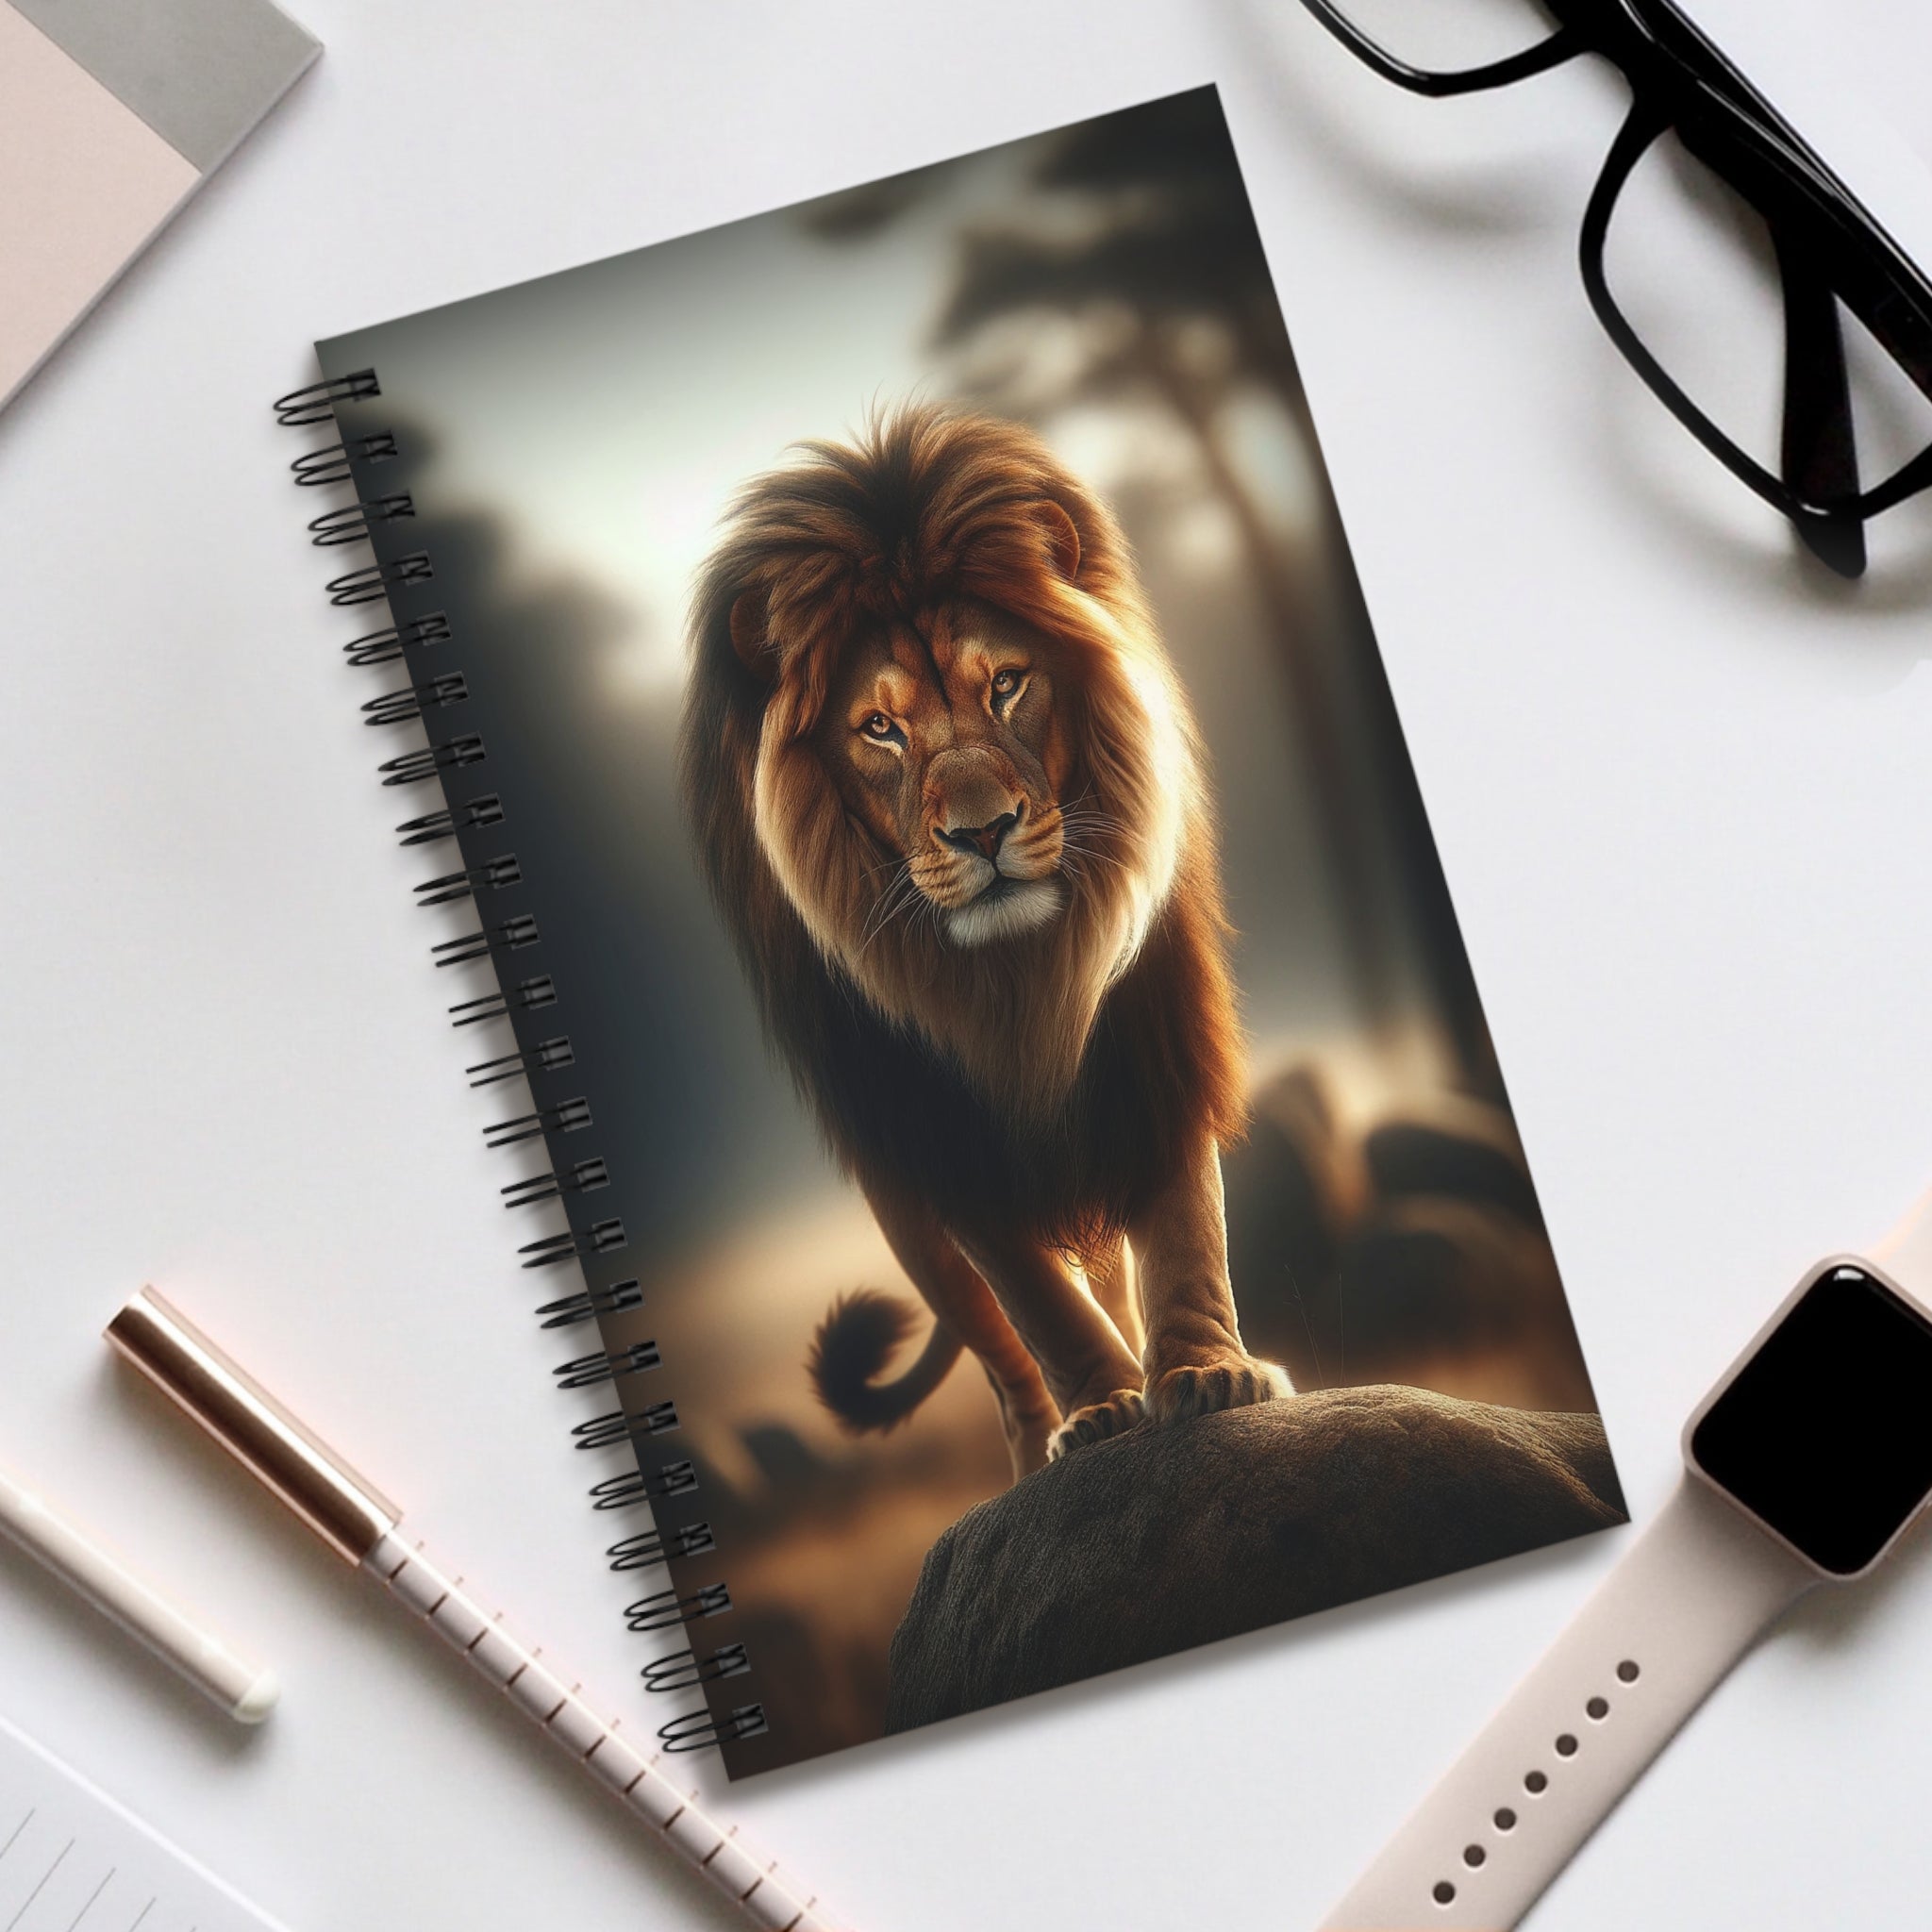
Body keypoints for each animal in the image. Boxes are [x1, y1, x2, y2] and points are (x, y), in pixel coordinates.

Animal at [678, 404, 1289, 1477]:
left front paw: (1208, 1373)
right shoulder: (944, 1138)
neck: (1016, 975)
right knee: (1000, 1353)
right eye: (878, 728)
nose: (982, 832)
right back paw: (1041, 1440)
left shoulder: (1154, 1047)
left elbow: (1183, 1228)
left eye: (1006, 683)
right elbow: (1034, 1299)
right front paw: (1102, 1407)